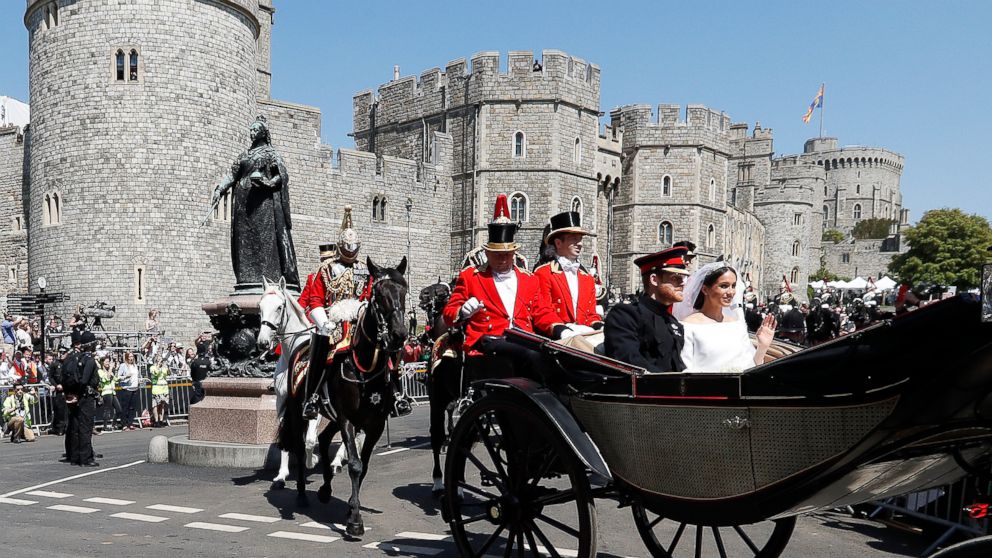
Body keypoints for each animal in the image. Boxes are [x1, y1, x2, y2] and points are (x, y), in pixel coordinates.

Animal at [280, 258, 406, 540]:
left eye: (404, 291)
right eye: (378, 295)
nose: (399, 335)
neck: (365, 367)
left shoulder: (374, 425)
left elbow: (363, 466)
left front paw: (351, 509)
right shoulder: (348, 419)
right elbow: (356, 465)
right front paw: (355, 521)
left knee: (325, 439)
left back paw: (326, 489)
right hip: (298, 412)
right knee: (298, 445)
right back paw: (302, 495)